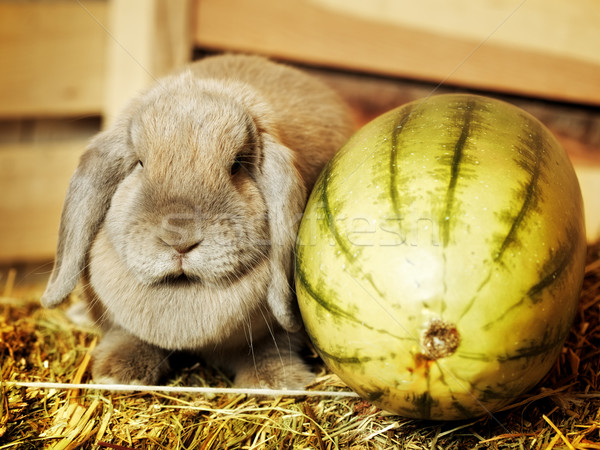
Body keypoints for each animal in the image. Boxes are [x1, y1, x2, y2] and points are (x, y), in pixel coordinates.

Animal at [41, 54, 356, 388]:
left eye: (237, 165)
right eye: (140, 163)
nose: (179, 241)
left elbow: (273, 345)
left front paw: (273, 382)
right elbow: (127, 334)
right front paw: (118, 372)